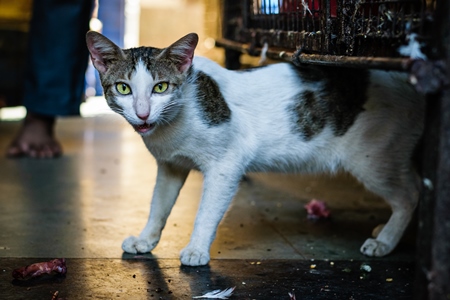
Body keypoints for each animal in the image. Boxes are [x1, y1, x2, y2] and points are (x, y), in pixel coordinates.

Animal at [85, 31, 426, 264]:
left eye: (160, 87)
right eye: (123, 88)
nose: (142, 113)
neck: (171, 125)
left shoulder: (227, 164)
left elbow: (207, 211)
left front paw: (196, 249)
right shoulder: (171, 166)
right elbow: (159, 205)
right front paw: (146, 240)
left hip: (373, 159)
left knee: (411, 194)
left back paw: (385, 241)